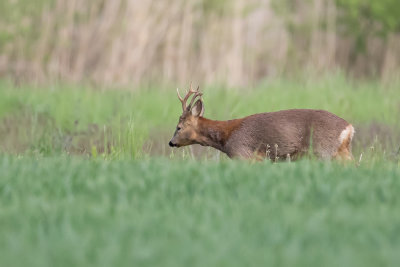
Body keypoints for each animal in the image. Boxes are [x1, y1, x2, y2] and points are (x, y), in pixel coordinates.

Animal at [167, 84, 354, 161]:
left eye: (179, 127)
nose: (171, 142)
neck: (226, 137)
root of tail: (349, 127)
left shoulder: (243, 155)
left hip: (323, 151)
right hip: (342, 151)